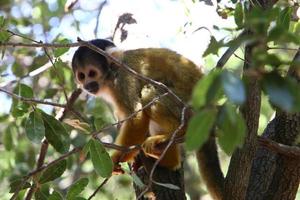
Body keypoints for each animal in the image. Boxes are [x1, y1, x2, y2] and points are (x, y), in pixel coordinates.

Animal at [72, 39, 223, 200]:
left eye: (92, 73)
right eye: (82, 76)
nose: (87, 84)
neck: (111, 76)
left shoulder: (124, 78)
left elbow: (137, 117)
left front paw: (115, 160)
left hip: (189, 107)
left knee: (148, 92)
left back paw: (178, 131)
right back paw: (168, 159)